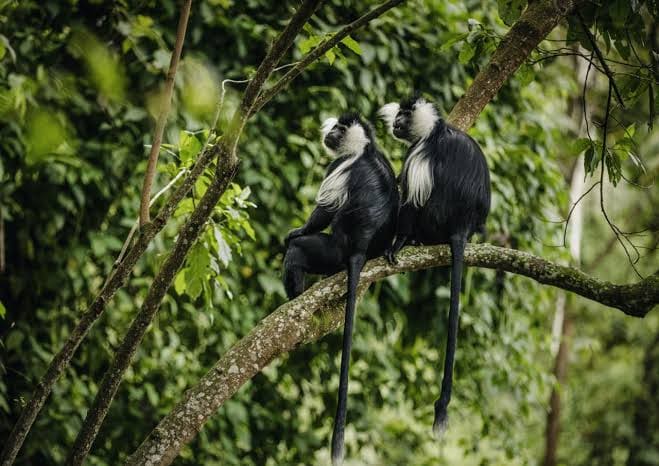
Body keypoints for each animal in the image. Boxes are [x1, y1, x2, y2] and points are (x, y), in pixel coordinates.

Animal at [283, 113, 399, 464]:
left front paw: (297, 230)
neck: (365, 148)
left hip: (330, 250)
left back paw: (294, 297)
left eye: (340, 130)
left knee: (298, 253)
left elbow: (323, 212)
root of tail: (359, 247)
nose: (330, 133)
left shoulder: (340, 166)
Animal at [378, 95, 491, 436]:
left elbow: (411, 200)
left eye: (404, 115)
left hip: (434, 220)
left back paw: (413, 241)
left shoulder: (420, 154)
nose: (395, 123)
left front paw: (398, 243)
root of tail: (461, 227)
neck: (434, 130)